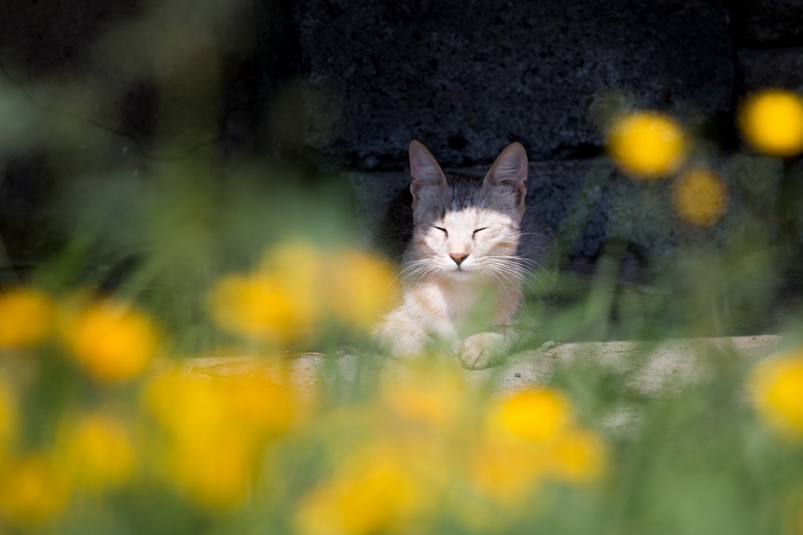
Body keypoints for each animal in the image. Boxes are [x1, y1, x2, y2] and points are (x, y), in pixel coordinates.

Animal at [376, 140, 552, 370]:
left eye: (480, 230)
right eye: (440, 229)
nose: (458, 256)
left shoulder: (536, 315)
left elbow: (512, 328)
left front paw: (485, 341)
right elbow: (404, 335)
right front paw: (433, 353)